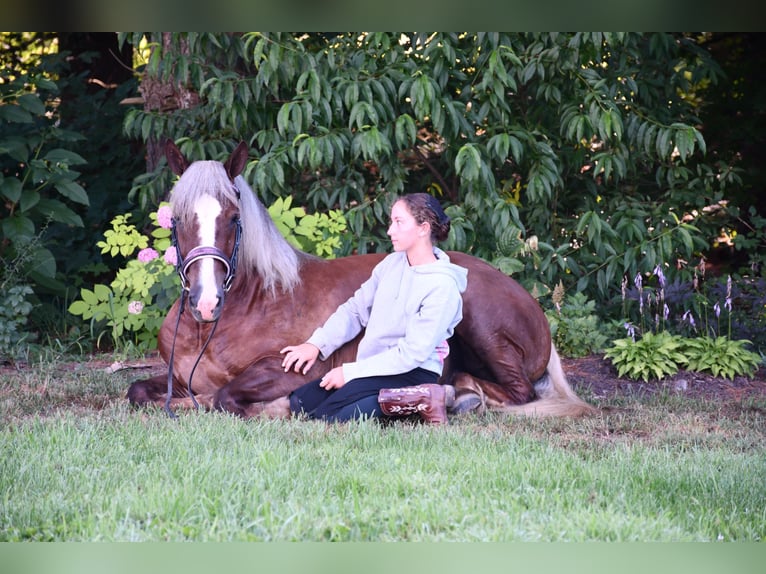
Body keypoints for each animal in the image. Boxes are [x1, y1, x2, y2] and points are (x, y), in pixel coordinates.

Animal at [126, 140, 595, 419]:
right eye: (178, 217)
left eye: (233, 217)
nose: (206, 302)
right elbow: (137, 390)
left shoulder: (292, 370)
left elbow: (224, 398)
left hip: (482, 324)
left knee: (519, 393)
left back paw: (456, 395)